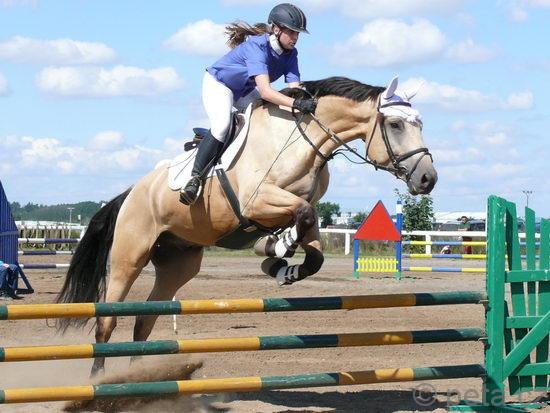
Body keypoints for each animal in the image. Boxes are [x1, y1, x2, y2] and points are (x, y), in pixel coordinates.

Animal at [57, 75, 437, 376]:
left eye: (420, 124)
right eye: (396, 125)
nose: (428, 179)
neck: (301, 140)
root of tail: (132, 192)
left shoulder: (304, 210)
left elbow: (312, 244)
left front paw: (280, 263)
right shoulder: (258, 201)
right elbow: (300, 215)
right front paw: (276, 248)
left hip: (178, 263)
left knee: (144, 320)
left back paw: (141, 378)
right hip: (130, 255)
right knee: (108, 320)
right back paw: (99, 379)